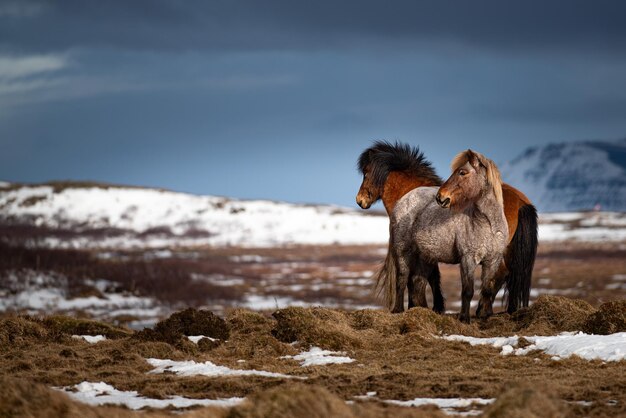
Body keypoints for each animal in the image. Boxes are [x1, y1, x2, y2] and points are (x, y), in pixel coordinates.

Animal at [356, 140, 536, 314]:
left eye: (366, 173)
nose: (360, 200)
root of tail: (522, 202)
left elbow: (427, 279)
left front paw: (430, 307)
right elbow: (425, 279)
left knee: (502, 275)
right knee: (510, 275)